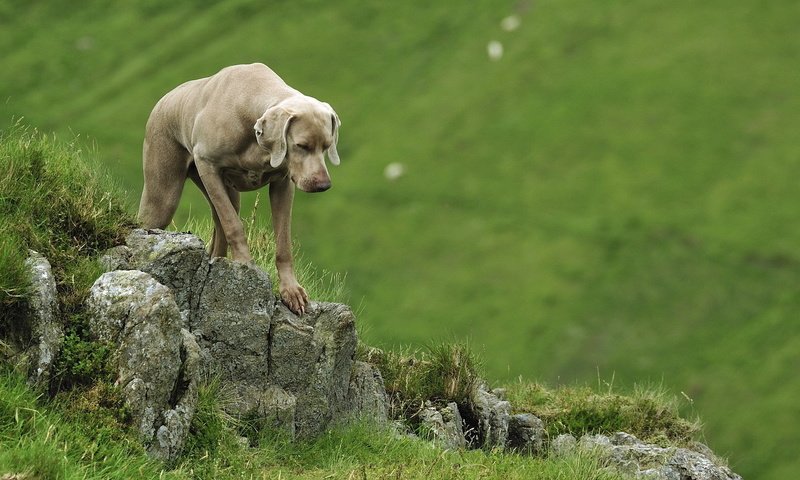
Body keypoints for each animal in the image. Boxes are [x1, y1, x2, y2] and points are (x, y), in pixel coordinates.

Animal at [138, 62, 340, 316]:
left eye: (327, 145)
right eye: (301, 146)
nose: (323, 185)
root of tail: (164, 99)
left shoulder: (283, 183)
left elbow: (283, 241)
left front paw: (291, 290)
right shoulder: (207, 164)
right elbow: (234, 225)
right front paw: (244, 266)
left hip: (225, 192)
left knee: (219, 230)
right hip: (165, 193)